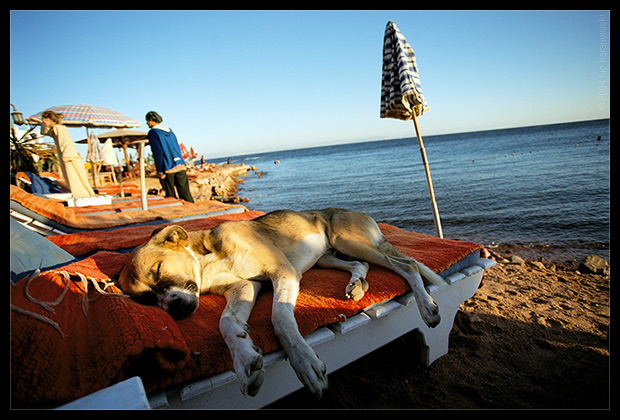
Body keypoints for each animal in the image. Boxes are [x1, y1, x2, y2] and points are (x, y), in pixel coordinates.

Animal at [117, 208, 446, 398]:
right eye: (147, 300)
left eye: (158, 271)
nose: (174, 310)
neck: (208, 259)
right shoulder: (245, 287)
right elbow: (226, 323)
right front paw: (244, 359)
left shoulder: (282, 272)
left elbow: (280, 319)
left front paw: (304, 363)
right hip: (327, 255)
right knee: (360, 264)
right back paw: (356, 286)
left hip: (346, 240)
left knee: (407, 265)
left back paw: (426, 306)